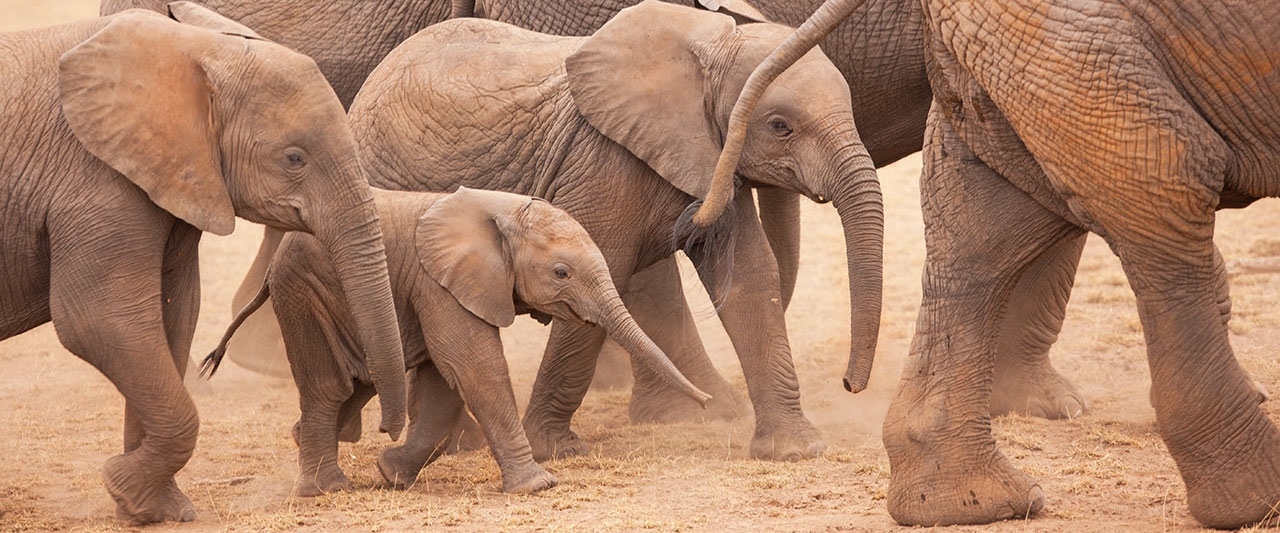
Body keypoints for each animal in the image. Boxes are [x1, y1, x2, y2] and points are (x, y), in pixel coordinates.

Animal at [0, 2, 406, 524]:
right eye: (294, 158)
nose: (386, 434)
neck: (198, 51)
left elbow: (173, 317)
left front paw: (151, 509)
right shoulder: (96, 181)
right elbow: (98, 321)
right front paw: (125, 486)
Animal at [203, 187, 710, 495]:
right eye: (561, 273)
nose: (705, 404)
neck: (501, 211)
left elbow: (443, 383)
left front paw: (391, 472)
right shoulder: (439, 285)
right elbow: (472, 367)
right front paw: (539, 485)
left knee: (357, 382)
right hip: (304, 292)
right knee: (329, 387)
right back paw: (326, 489)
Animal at [348, 0, 884, 461]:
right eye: (779, 126)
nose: (849, 384)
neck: (709, 51)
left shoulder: (708, 158)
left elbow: (751, 281)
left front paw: (795, 451)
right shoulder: (606, 163)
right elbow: (593, 276)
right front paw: (555, 451)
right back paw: (460, 445)